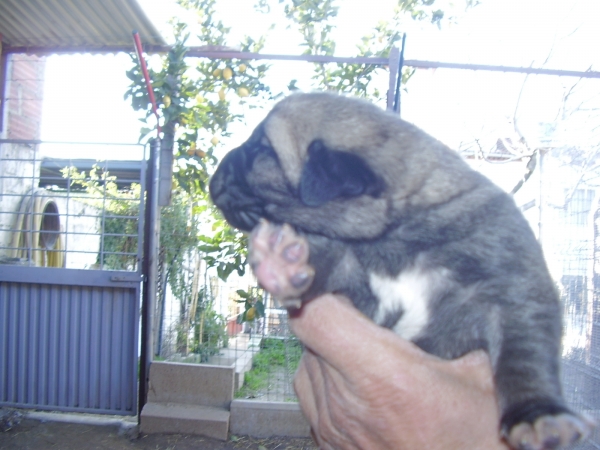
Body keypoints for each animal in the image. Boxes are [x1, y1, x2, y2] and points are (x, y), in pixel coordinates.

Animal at [210, 91, 592, 450]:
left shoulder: (514, 296)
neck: (400, 231)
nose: (213, 181)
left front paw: (537, 413)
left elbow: (523, 359)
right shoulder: (355, 281)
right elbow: (328, 263)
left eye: (261, 148)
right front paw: (286, 263)